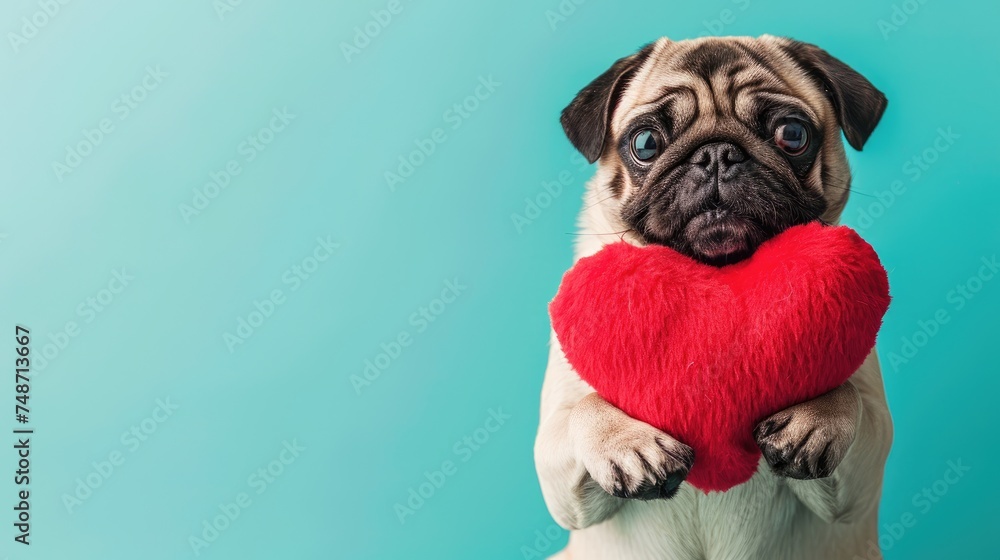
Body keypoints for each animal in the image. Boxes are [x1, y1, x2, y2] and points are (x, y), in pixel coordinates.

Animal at [536, 36, 896, 560]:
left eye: (792, 134)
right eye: (645, 143)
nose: (717, 154)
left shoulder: (860, 483)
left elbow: (853, 398)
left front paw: (818, 417)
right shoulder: (560, 475)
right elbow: (584, 408)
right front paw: (628, 443)